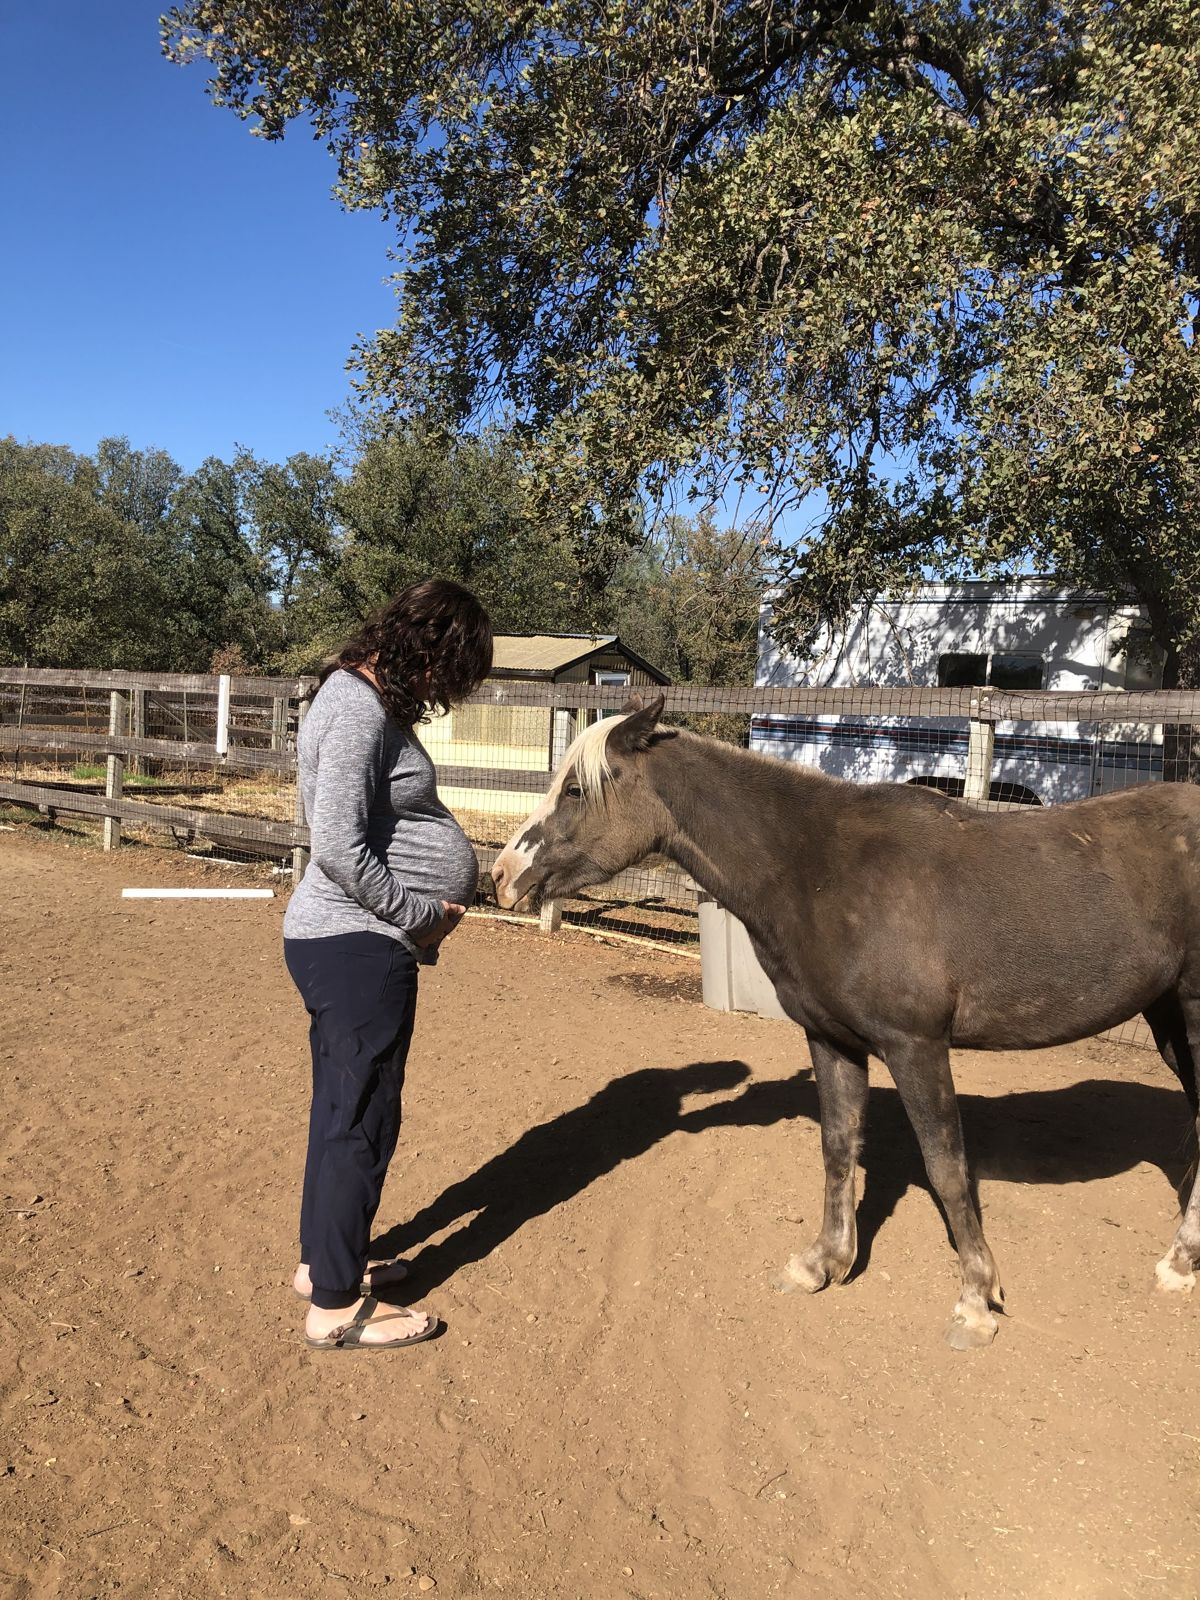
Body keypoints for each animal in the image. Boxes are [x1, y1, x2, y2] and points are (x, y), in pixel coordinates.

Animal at [488, 695, 1200, 1350]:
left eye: (576, 789)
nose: (501, 875)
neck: (818, 868)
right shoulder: (831, 1040)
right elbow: (838, 1148)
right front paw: (824, 1263)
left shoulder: (916, 1047)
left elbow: (947, 1168)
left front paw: (975, 1300)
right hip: (1170, 1021)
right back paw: (1181, 1261)